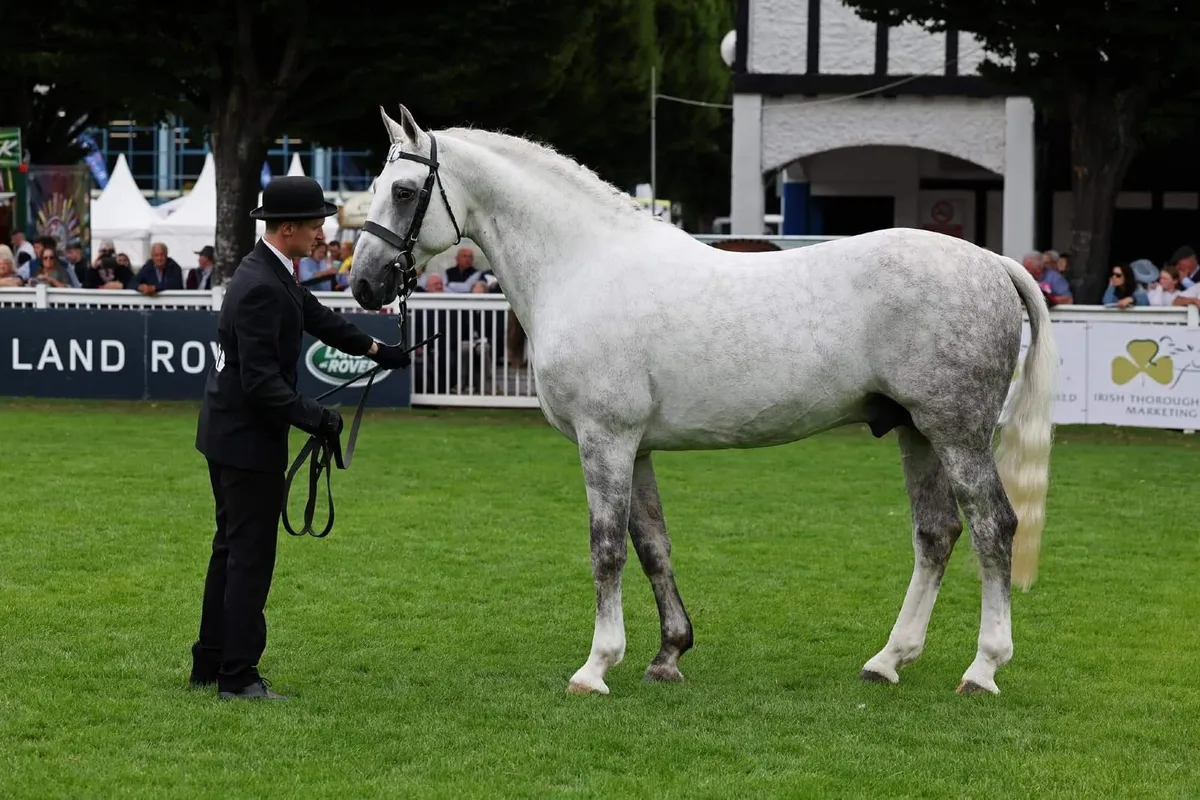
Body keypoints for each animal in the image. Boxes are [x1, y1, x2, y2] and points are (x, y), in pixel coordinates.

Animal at [349, 105, 1059, 697]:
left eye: (405, 191)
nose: (363, 284)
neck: (585, 266)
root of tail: (994, 264)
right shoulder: (635, 448)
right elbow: (652, 545)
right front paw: (668, 655)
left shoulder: (604, 440)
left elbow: (606, 548)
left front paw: (595, 667)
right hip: (916, 431)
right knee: (936, 534)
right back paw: (887, 661)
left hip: (957, 432)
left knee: (993, 528)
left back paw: (982, 669)